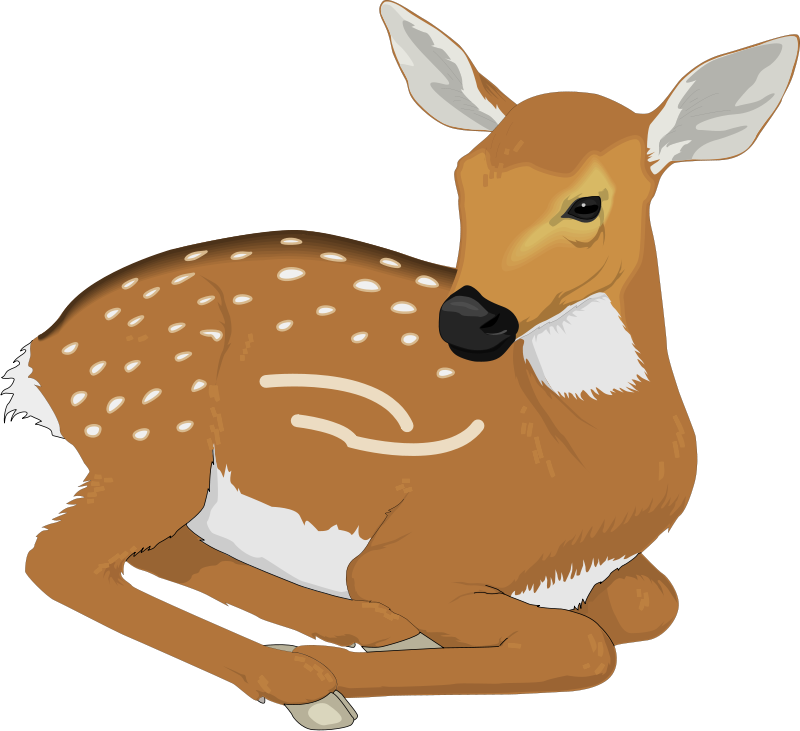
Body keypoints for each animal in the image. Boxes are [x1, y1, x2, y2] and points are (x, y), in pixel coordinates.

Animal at [5, 2, 796, 728]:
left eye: (586, 203)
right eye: (465, 177)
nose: (468, 319)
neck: (573, 455)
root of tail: (41, 356)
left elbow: (652, 604)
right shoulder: (419, 548)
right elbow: (585, 645)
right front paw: (336, 674)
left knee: (152, 548)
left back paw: (359, 628)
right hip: (155, 422)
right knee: (60, 559)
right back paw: (308, 670)